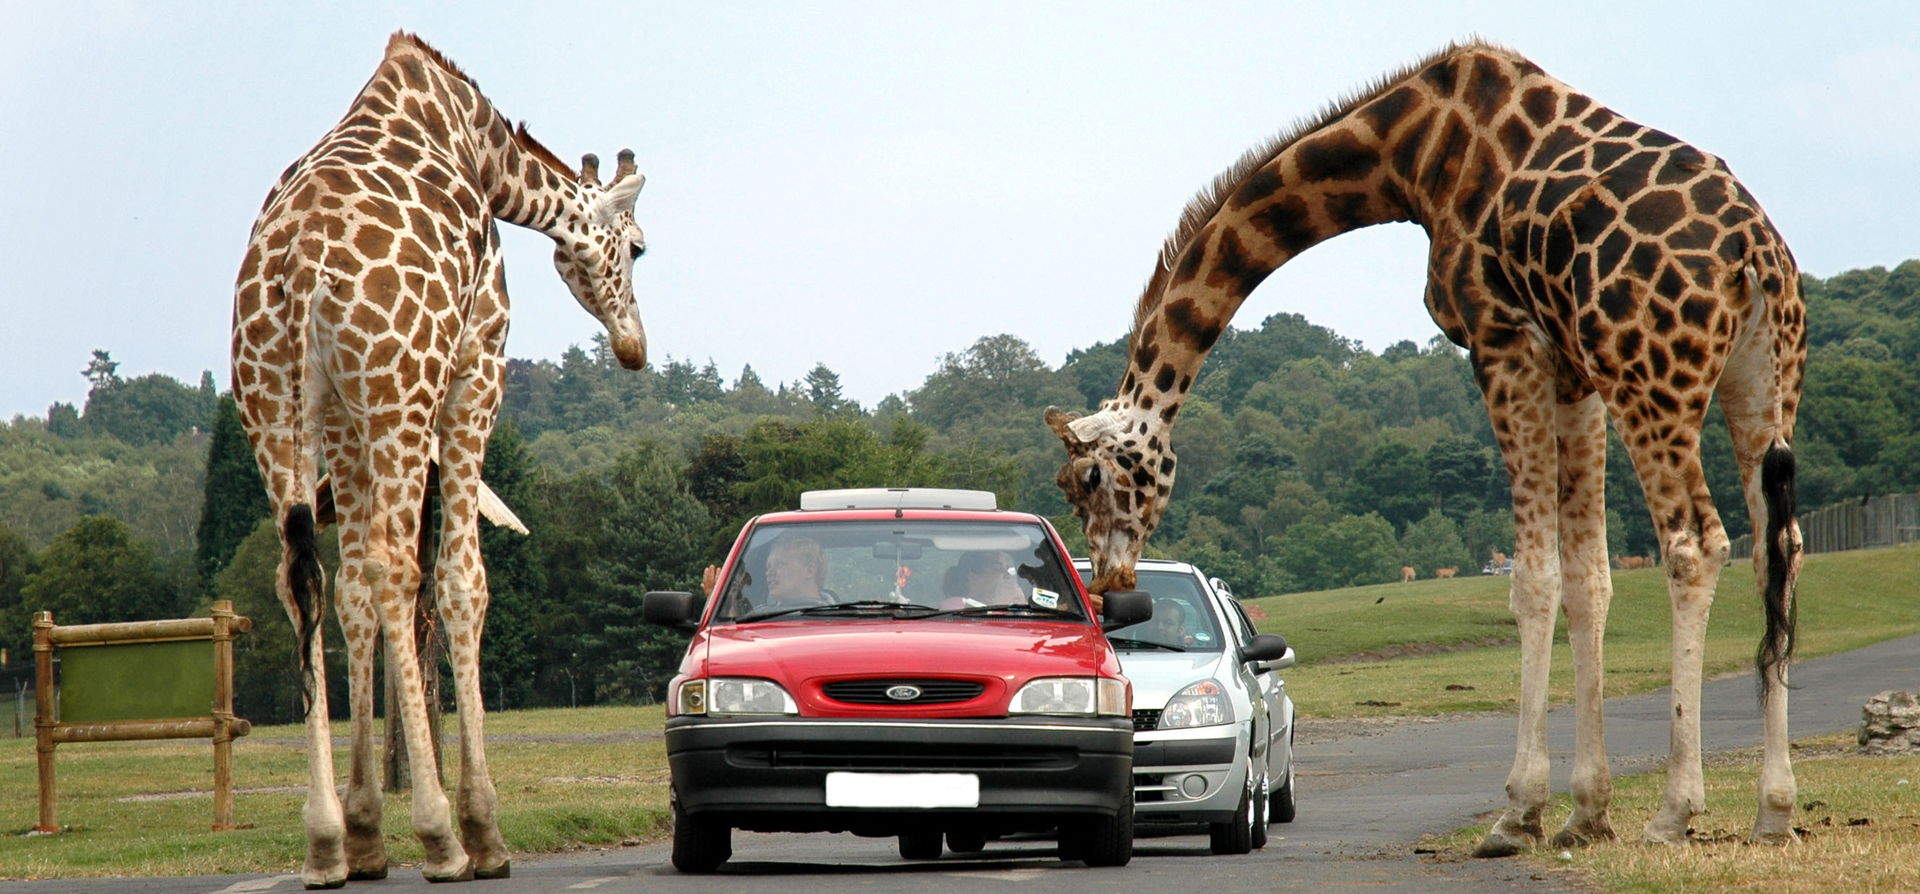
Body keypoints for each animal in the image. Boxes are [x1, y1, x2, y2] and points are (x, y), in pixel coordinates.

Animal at [230, 31, 652, 882]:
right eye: (639, 248)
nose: (635, 347)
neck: (483, 149)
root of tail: (296, 269)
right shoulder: (475, 366)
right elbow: (463, 580)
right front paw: (483, 827)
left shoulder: (345, 419)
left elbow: (350, 593)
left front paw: (364, 829)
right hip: (401, 391)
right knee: (399, 568)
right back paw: (443, 837)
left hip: (275, 404)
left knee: (304, 576)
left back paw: (324, 842)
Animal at [1059, 40, 1804, 851]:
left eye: (1087, 481)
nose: (1111, 584)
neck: (1409, 155)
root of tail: (1753, 255)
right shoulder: (1571, 369)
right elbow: (1589, 579)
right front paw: (1586, 813)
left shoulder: (1502, 339)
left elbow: (1533, 578)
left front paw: (1519, 812)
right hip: (1761, 381)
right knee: (1777, 547)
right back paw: (1774, 809)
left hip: (1649, 377)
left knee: (1695, 543)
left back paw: (1675, 813)